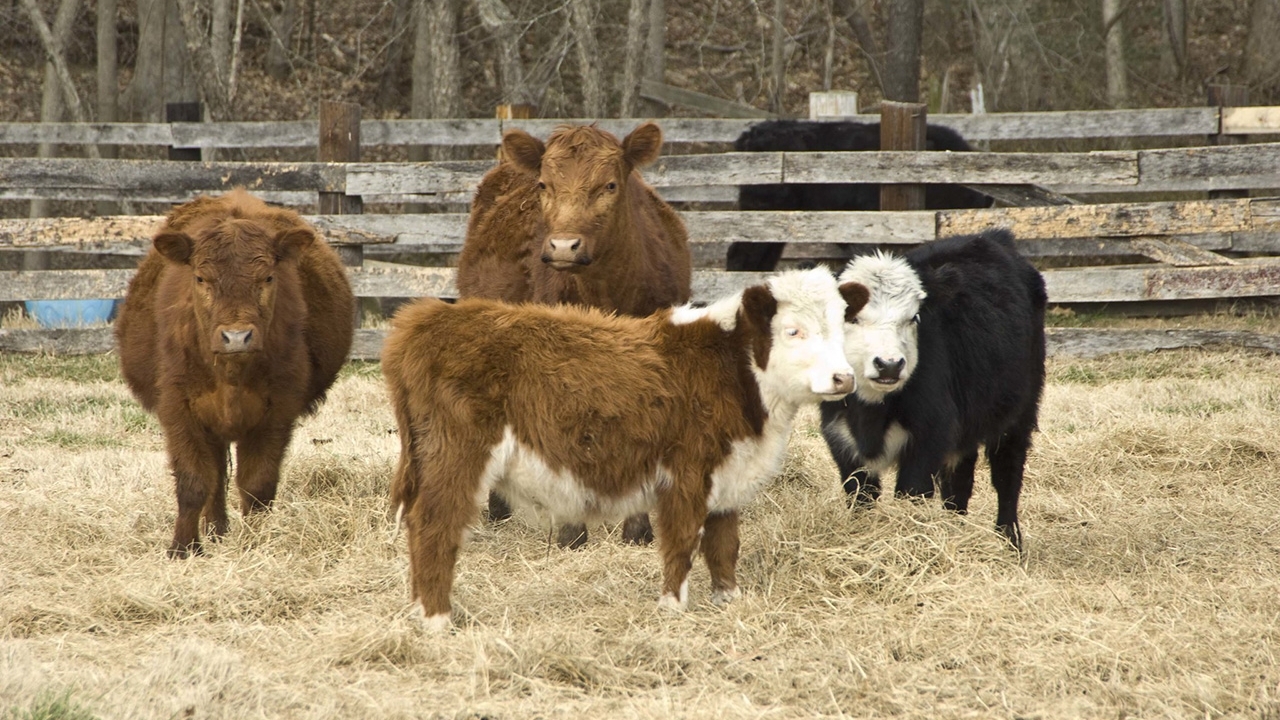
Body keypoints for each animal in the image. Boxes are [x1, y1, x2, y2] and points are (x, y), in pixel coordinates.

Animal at [116, 189, 355, 556]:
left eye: (267, 277)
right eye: (201, 278)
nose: (237, 336)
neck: (231, 377)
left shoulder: (277, 413)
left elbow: (257, 486)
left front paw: (255, 544)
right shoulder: (178, 410)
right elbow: (194, 483)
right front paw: (183, 548)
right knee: (214, 478)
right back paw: (214, 531)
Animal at [378, 265, 870, 627]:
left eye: (841, 325)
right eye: (793, 331)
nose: (843, 378)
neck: (733, 369)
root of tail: (427, 319)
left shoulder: (728, 476)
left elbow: (723, 544)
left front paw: (727, 600)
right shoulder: (686, 474)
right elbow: (682, 541)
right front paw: (672, 607)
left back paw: (417, 608)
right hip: (457, 457)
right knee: (434, 526)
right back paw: (436, 619)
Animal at [450, 121, 691, 543]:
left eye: (610, 185)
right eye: (544, 184)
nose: (564, 246)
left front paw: (637, 528)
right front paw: (571, 531)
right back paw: (499, 508)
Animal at [819, 229, 1049, 548]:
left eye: (913, 317)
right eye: (850, 317)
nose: (889, 365)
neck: (871, 414)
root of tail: (993, 236)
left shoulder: (929, 436)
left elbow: (911, 493)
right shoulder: (841, 439)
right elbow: (861, 496)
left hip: (1019, 412)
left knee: (1007, 475)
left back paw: (1010, 542)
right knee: (959, 483)